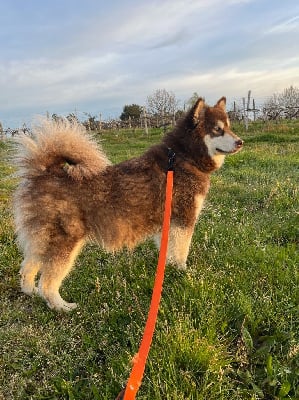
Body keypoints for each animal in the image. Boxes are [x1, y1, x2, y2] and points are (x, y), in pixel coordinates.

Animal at [13, 97, 244, 312]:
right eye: (217, 130)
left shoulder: (169, 223)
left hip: (42, 240)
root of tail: (45, 172)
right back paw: (61, 306)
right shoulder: (183, 219)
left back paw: (31, 292)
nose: (240, 142)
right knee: (47, 282)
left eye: (229, 127)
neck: (182, 158)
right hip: (65, 242)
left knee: (27, 267)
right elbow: (181, 252)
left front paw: (168, 270)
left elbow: (168, 251)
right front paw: (182, 272)